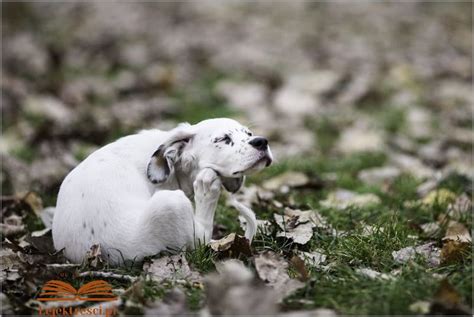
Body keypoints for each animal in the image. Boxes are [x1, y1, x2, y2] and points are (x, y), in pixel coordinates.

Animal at [51, 118, 272, 264]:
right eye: (223, 139)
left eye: (249, 134)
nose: (262, 141)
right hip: (171, 204)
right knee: (202, 235)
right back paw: (207, 187)